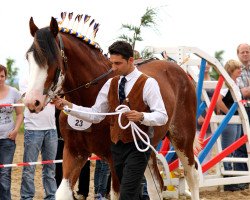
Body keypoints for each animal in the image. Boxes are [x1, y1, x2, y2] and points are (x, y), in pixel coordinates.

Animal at [23, 16, 199, 199]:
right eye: (29, 58)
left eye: (52, 59)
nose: (32, 102)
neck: (89, 98)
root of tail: (180, 71)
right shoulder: (74, 153)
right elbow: (62, 192)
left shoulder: (115, 160)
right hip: (145, 145)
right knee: (156, 185)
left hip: (182, 138)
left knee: (192, 176)